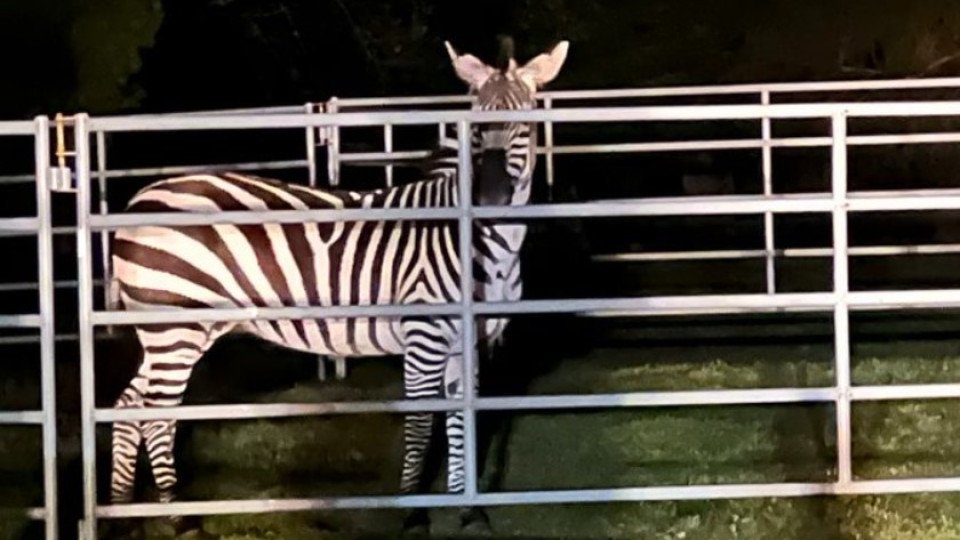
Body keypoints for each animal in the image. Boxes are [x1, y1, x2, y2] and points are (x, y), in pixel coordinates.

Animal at [106, 38, 569, 534]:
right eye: (475, 128)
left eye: (525, 125)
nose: (491, 195)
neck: (478, 240)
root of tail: (139, 198)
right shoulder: (423, 336)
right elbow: (421, 424)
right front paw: (412, 513)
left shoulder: (467, 342)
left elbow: (463, 420)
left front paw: (468, 511)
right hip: (176, 326)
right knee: (157, 414)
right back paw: (179, 518)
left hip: (170, 331)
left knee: (129, 404)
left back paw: (120, 510)